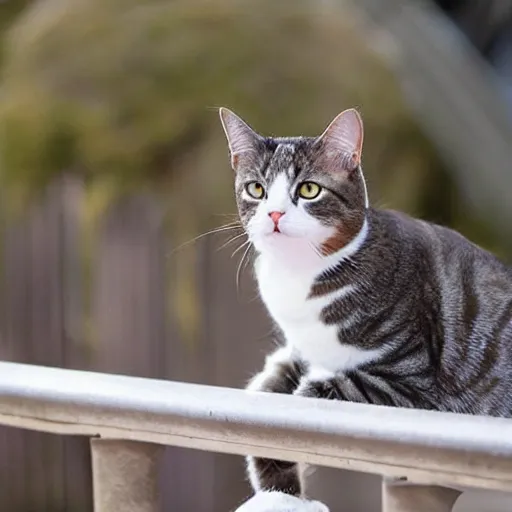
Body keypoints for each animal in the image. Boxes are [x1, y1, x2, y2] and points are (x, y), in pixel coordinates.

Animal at [218, 107, 512, 508]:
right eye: (256, 189)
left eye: (308, 190)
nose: (274, 215)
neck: (303, 274)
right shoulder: (301, 350)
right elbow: (270, 386)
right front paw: (280, 493)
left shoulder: (415, 383)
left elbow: (323, 389)